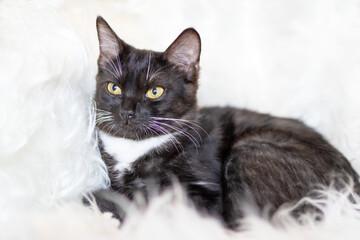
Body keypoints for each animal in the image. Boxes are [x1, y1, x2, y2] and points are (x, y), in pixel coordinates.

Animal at [92, 15, 360, 228]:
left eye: (154, 91)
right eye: (113, 88)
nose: (127, 112)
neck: (135, 148)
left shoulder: (203, 196)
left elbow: (145, 197)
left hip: (251, 150)